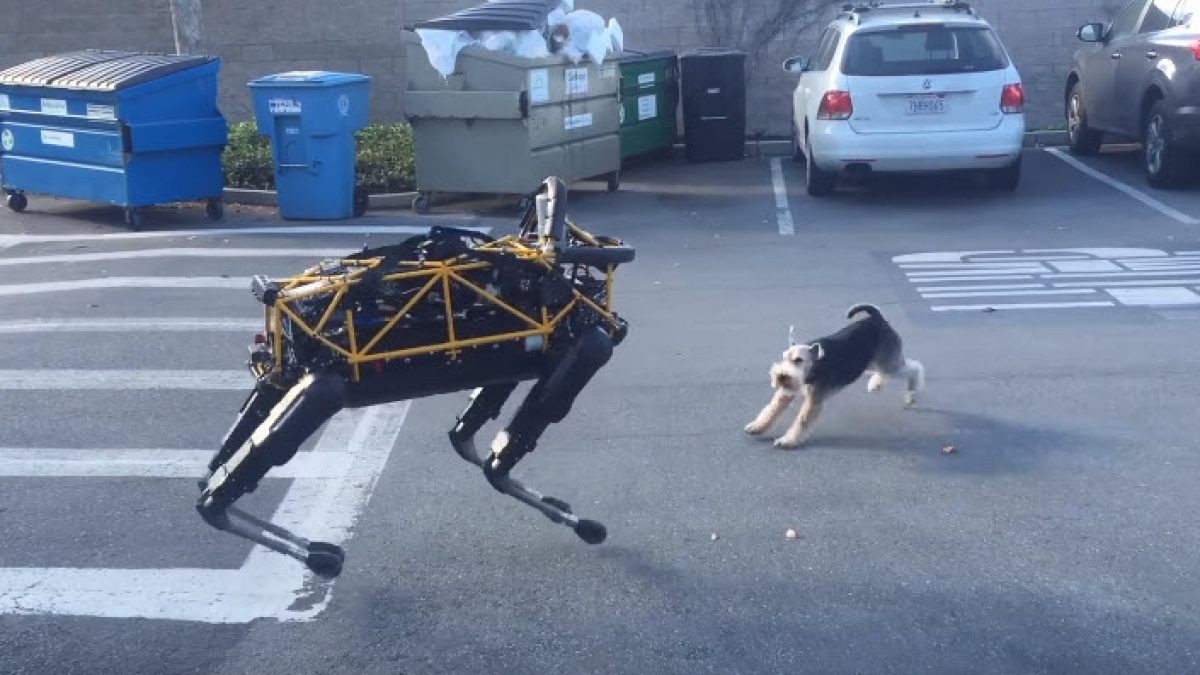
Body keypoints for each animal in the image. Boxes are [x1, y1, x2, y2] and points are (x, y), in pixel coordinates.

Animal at [744, 303, 921, 446]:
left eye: (798, 360)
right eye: (783, 357)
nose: (780, 377)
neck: (816, 363)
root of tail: (877, 318)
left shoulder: (814, 400)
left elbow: (802, 420)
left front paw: (787, 441)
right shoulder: (786, 392)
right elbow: (772, 409)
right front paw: (756, 427)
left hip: (889, 363)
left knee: (914, 369)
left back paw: (910, 396)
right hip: (874, 362)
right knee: (887, 372)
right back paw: (875, 384)